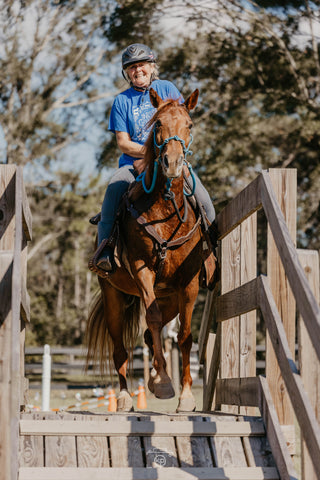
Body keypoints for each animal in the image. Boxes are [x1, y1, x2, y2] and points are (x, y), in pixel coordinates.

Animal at [85, 88, 215, 410]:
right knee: (121, 348)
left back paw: (154, 378)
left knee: (147, 335)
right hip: (113, 297)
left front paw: (184, 395)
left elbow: (185, 335)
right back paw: (124, 396)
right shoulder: (143, 270)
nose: (173, 163)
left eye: (189, 125)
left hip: (169, 298)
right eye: (157, 125)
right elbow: (153, 319)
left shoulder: (188, 282)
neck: (166, 210)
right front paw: (167, 384)